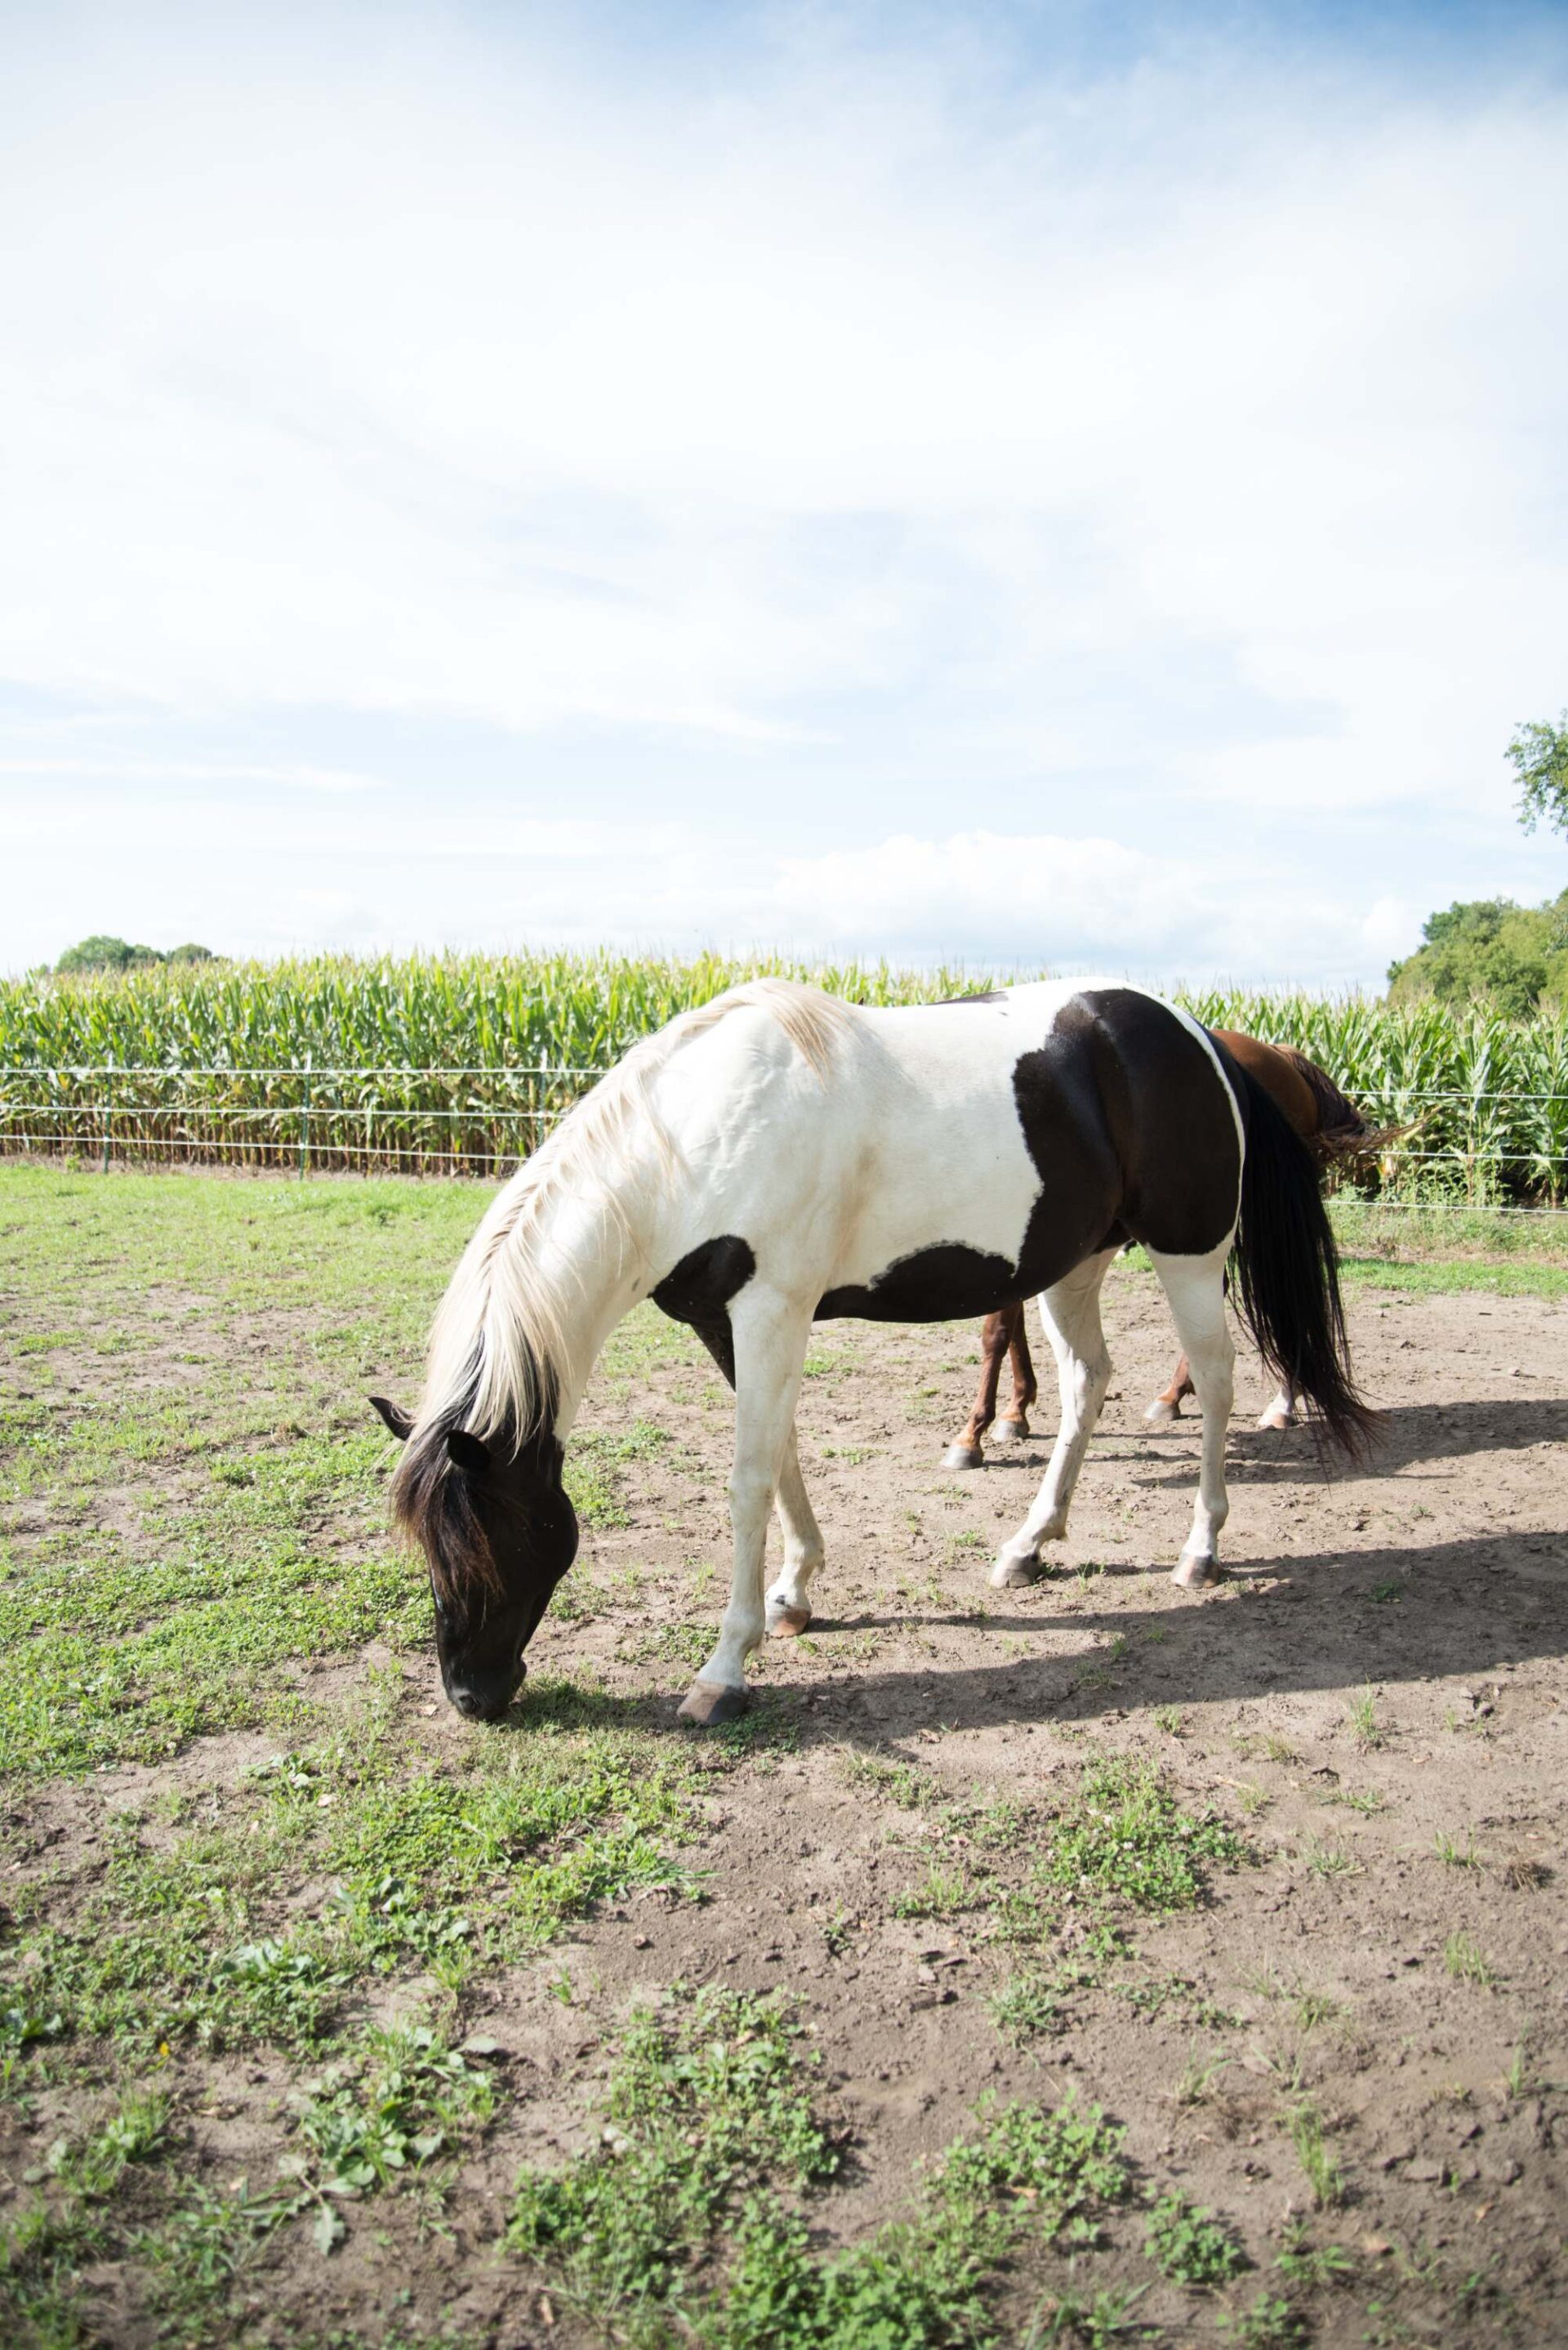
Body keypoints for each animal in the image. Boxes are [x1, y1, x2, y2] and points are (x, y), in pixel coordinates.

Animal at [945, 1033, 1373, 1466]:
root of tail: (1281, 1056)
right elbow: (1013, 1328)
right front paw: (1015, 1412)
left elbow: (997, 1333)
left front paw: (974, 1433)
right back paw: (1176, 1395)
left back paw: (1280, 1403)